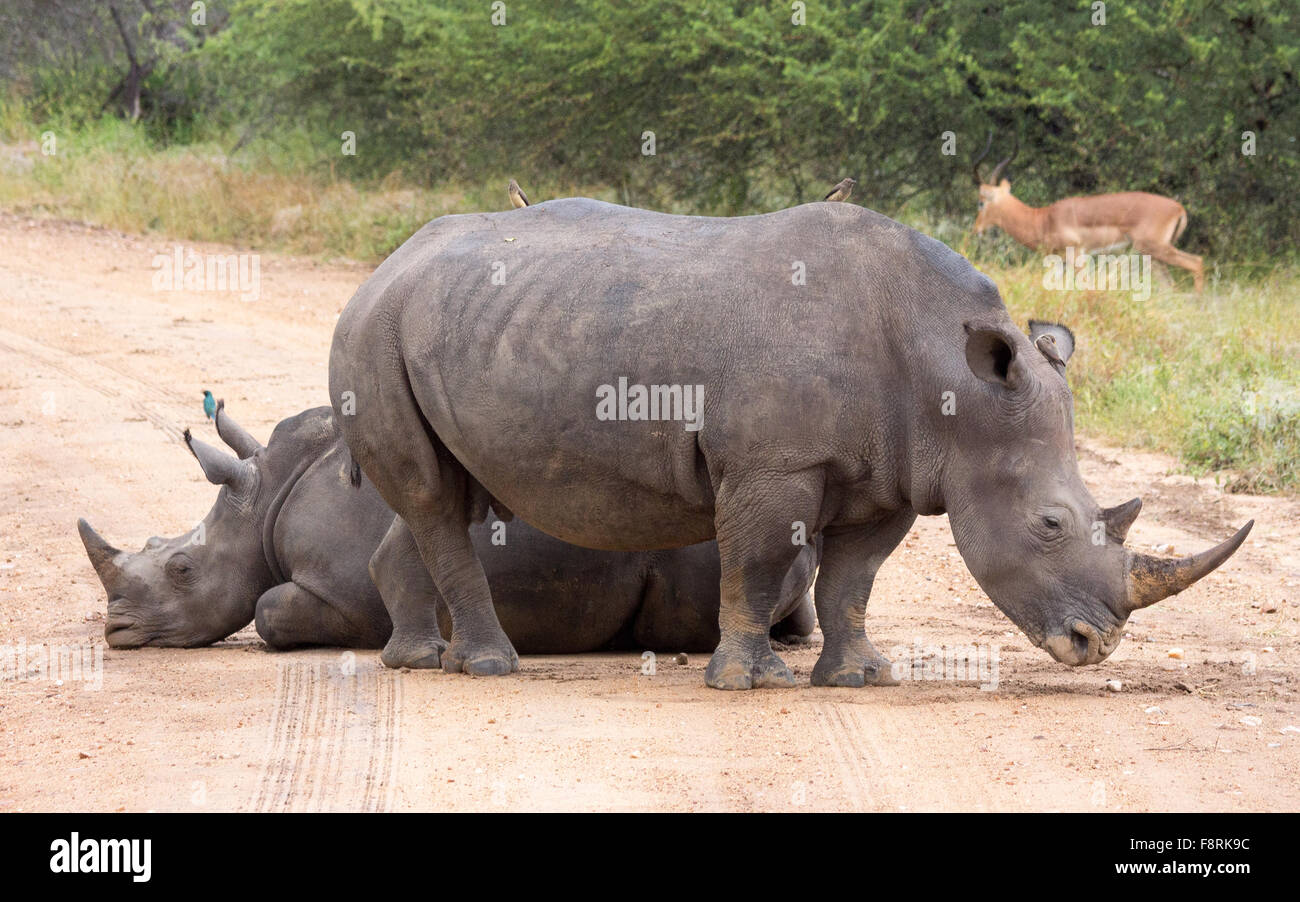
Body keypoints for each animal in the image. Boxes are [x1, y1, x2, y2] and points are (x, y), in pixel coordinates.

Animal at [330, 197, 1253, 691]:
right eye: (1051, 526)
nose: (1095, 648)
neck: (950, 381)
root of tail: (384, 266)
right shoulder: (772, 465)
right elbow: (761, 560)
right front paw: (749, 681)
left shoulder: (895, 471)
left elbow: (853, 579)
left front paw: (860, 679)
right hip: (374, 330)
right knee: (436, 499)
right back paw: (492, 668)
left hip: (448, 328)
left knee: (446, 495)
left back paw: (420, 661)